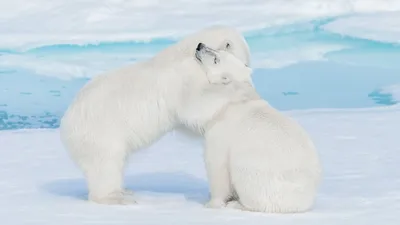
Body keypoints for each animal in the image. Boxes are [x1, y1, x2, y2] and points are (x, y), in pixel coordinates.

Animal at [58, 25, 253, 204]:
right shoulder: (184, 78)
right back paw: (116, 197)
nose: (247, 67)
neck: (186, 54)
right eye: (245, 59)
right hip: (100, 132)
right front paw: (239, 90)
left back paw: (124, 190)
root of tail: (65, 124)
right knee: (106, 163)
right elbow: (195, 104)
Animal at [178, 43, 322, 214]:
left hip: (257, 172)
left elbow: (217, 166)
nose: (200, 45)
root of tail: (301, 202)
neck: (239, 97)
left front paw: (212, 203)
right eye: (219, 51)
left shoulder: (222, 129)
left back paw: (237, 204)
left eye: (215, 59)